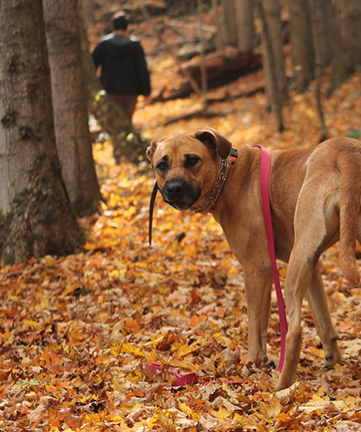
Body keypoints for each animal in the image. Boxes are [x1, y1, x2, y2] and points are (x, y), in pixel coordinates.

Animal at [146, 130, 360, 390]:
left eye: (192, 160)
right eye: (162, 165)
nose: (174, 188)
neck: (227, 176)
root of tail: (346, 151)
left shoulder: (257, 268)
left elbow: (256, 328)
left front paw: (251, 366)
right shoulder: (311, 265)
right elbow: (323, 319)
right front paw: (334, 361)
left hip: (296, 265)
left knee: (294, 331)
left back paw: (280, 387)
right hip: (305, 257)